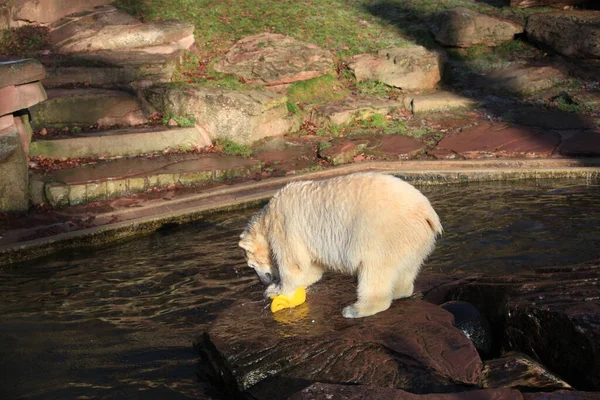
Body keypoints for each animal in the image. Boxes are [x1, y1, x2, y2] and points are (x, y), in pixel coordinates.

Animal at [238, 172, 440, 318]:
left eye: (251, 265)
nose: (262, 281)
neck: (268, 218)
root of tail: (427, 214)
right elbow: (312, 269)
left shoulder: (286, 227)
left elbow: (294, 265)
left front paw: (277, 291)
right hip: (413, 239)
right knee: (407, 268)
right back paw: (398, 292)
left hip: (383, 234)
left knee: (375, 270)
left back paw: (355, 309)